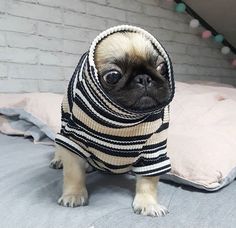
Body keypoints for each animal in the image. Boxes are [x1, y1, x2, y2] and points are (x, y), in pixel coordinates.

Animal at [50, 25, 175, 217]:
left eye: (162, 68)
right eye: (113, 76)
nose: (144, 78)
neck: (123, 123)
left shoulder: (153, 151)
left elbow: (148, 180)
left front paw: (148, 204)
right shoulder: (73, 140)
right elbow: (73, 173)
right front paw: (74, 194)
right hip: (63, 130)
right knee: (60, 146)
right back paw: (59, 160)